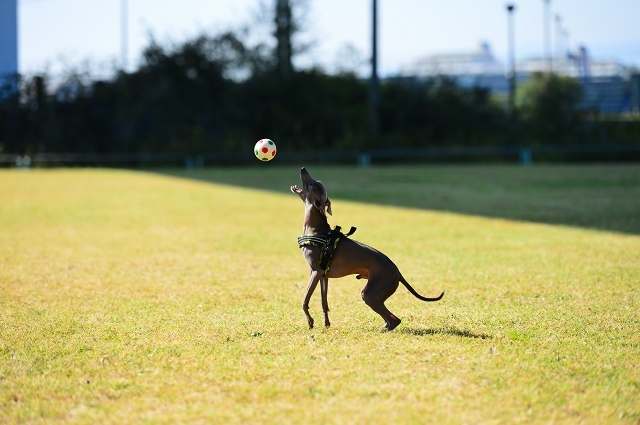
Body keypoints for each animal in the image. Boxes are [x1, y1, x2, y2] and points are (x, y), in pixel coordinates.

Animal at [292, 167, 444, 330]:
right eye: (315, 181)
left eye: (311, 184)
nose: (303, 168)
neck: (317, 230)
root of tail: (398, 272)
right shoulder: (323, 275)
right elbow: (324, 303)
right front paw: (326, 324)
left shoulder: (315, 271)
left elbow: (304, 301)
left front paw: (310, 322)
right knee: (392, 319)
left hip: (371, 294)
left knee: (394, 320)